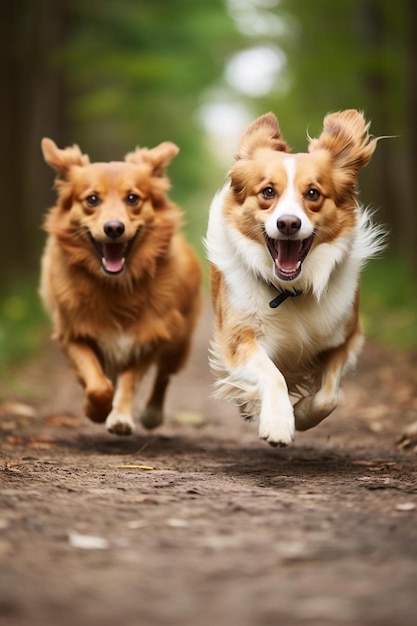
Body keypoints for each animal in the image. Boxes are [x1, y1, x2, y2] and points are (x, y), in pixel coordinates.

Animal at [40, 137, 202, 434]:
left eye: (132, 198)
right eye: (92, 199)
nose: (114, 228)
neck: (116, 285)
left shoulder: (150, 336)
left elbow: (129, 379)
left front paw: (120, 416)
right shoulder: (72, 333)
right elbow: (98, 384)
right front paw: (94, 410)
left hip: (179, 339)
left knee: (163, 376)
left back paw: (152, 413)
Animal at [206, 111, 386, 444]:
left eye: (312, 193)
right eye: (268, 192)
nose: (288, 223)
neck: (290, 289)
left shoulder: (347, 336)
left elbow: (328, 396)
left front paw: (300, 415)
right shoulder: (239, 337)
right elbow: (272, 375)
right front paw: (278, 422)